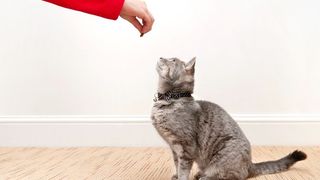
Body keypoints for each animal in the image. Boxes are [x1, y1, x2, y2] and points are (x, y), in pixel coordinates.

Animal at [151, 57, 306, 180]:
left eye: (173, 60)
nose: (161, 57)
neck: (169, 101)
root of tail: (250, 164)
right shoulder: (174, 148)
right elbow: (177, 164)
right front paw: (176, 175)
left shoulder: (186, 147)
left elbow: (183, 168)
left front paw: (181, 178)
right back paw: (200, 174)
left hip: (223, 156)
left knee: (233, 176)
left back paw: (206, 177)